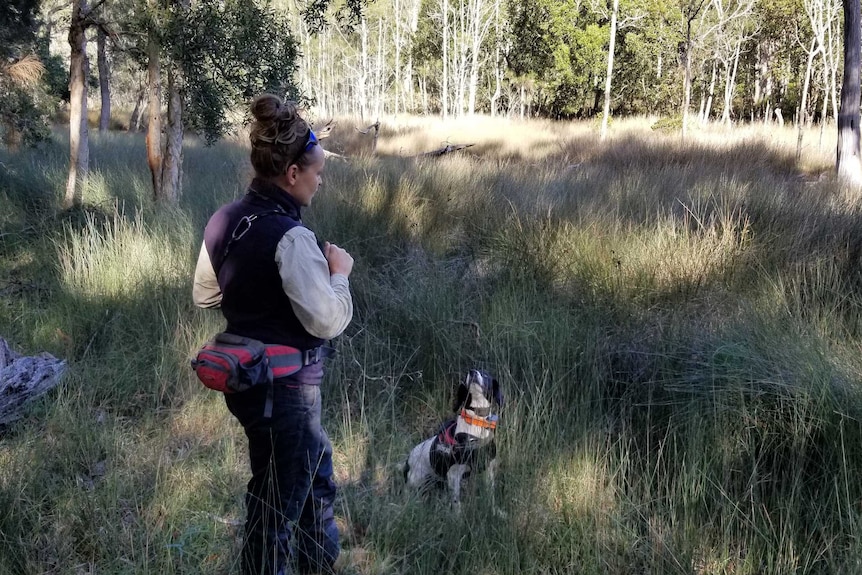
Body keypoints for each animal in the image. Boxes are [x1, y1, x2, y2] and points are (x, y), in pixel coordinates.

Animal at [406, 372, 506, 516]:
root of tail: (407, 460)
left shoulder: (488, 471)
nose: (472, 371)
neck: (476, 422)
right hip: (416, 481)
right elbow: (456, 502)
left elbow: (490, 496)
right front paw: (458, 519)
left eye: (486, 374)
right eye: (465, 376)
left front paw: (495, 511)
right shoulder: (454, 475)